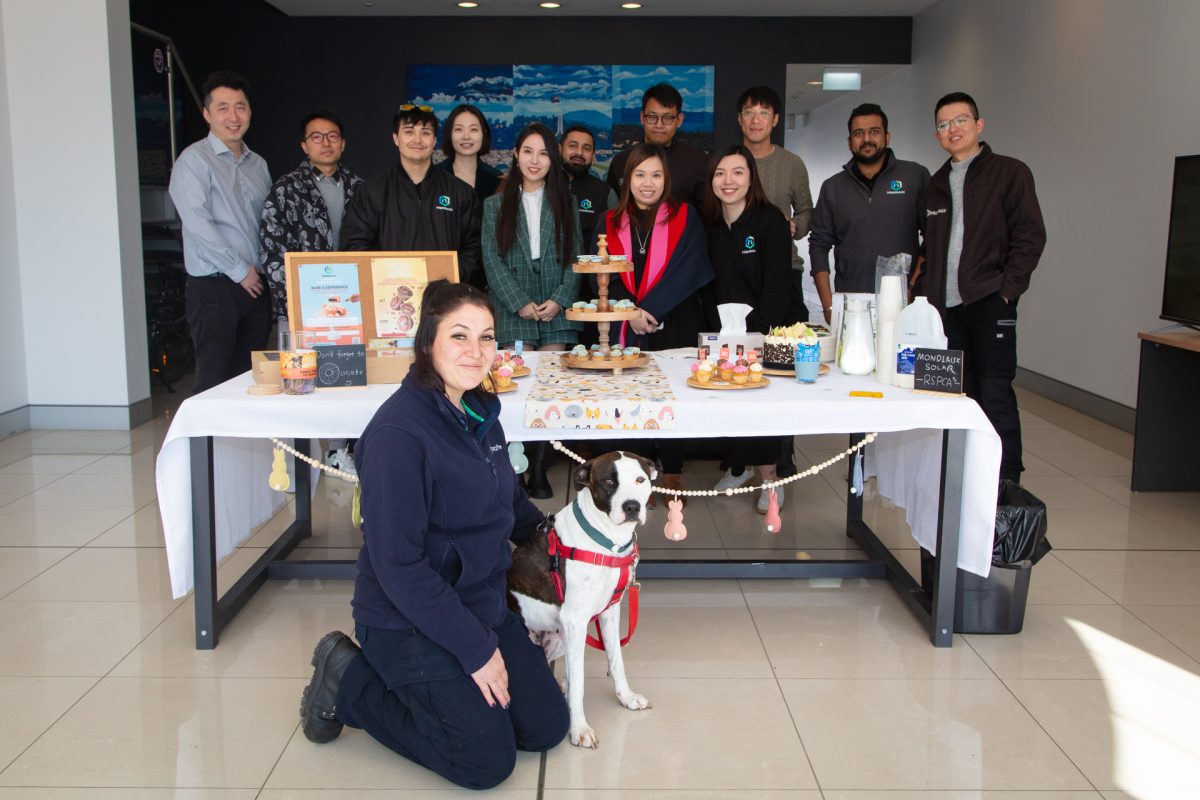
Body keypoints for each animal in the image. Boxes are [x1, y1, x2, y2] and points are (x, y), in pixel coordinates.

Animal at [506, 453, 657, 748]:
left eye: (640, 479)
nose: (632, 506)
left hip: (561, 638)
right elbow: (580, 684)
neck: (607, 540)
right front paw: (579, 729)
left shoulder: (610, 612)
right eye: (609, 481)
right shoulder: (574, 620)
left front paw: (626, 697)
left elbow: (616, 660)